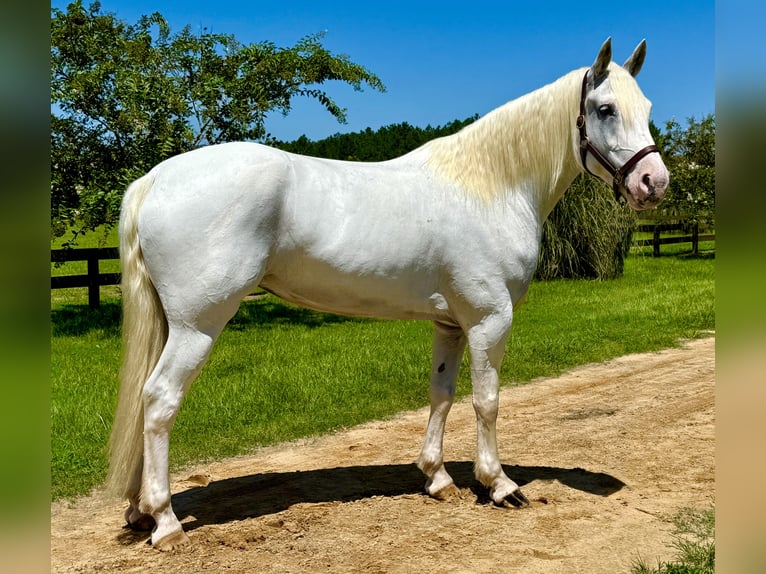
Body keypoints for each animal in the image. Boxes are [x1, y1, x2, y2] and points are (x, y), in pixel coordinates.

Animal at [107, 38, 669, 550]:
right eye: (605, 109)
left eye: (646, 108)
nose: (654, 182)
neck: (491, 187)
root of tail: (157, 178)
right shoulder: (490, 319)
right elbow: (487, 400)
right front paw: (499, 485)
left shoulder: (451, 323)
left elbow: (441, 394)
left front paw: (437, 478)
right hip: (198, 326)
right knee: (159, 401)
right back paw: (165, 521)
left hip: (172, 325)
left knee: (142, 402)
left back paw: (138, 511)